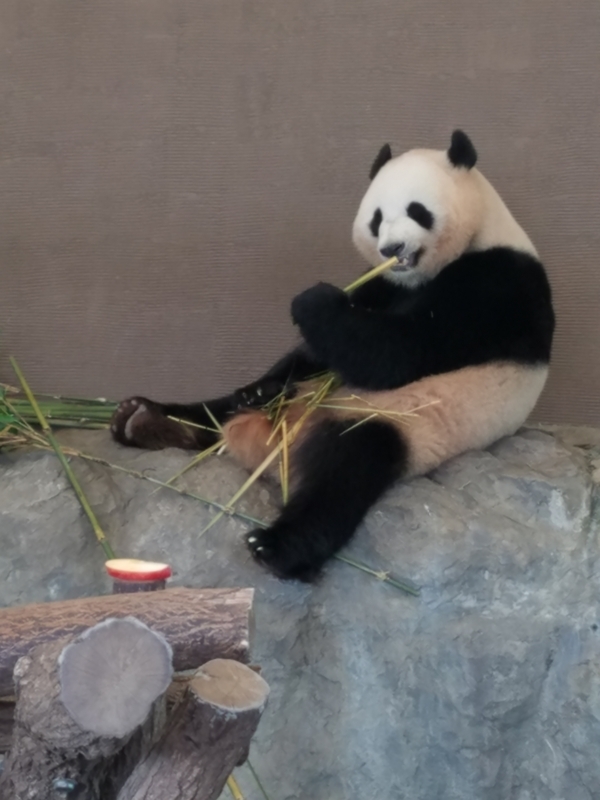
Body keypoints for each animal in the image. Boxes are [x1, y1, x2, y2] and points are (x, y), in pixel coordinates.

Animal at [112, 130, 555, 582]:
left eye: (417, 211)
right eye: (377, 218)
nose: (391, 248)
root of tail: (270, 444)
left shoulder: (498, 286)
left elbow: (399, 352)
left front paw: (312, 300)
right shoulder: (384, 286)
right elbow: (316, 353)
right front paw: (265, 382)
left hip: (396, 422)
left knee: (345, 472)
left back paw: (276, 546)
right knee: (223, 407)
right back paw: (149, 419)